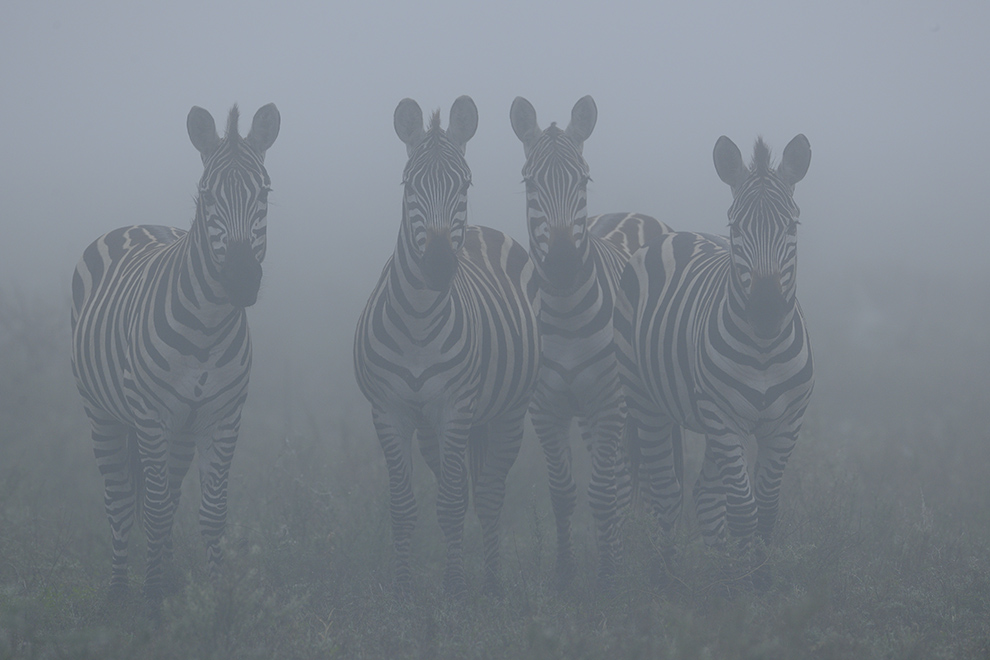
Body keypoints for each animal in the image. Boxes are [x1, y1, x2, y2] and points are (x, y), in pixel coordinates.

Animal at [70, 100, 280, 604]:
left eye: (264, 192)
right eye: (206, 195)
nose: (241, 279)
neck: (206, 329)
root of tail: (136, 222)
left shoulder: (223, 418)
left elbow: (210, 512)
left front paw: (215, 598)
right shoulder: (151, 417)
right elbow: (155, 510)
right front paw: (150, 602)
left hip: (181, 431)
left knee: (165, 495)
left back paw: (160, 576)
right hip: (102, 413)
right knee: (121, 501)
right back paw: (119, 593)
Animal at [354, 98, 544, 600]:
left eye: (465, 183)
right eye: (408, 183)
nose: (439, 265)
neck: (419, 320)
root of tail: (482, 229)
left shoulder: (456, 408)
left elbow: (454, 503)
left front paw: (456, 589)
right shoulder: (390, 411)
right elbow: (405, 505)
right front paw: (403, 590)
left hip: (507, 412)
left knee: (489, 493)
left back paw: (492, 581)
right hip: (430, 431)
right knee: (457, 485)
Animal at [512, 95, 676, 584]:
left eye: (583, 179)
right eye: (529, 182)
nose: (564, 263)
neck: (565, 315)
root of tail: (636, 212)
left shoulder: (609, 401)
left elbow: (602, 492)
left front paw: (608, 577)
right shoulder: (547, 409)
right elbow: (564, 492)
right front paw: (568, 574)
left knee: (653, 477)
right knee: (624, 476)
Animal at [616, 134, 816, 588]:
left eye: (792, 227)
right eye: (736, 229)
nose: (765, 310)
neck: (764, 348)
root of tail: (677, 234)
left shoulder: (787, 422)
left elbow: (766, 510)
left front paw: (757, 580)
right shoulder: (723, 417)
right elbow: (744, 509)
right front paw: (744, 587)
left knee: (705, 493)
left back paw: (719, 569)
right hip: (646, 401)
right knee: (666, 492)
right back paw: (666, 574)